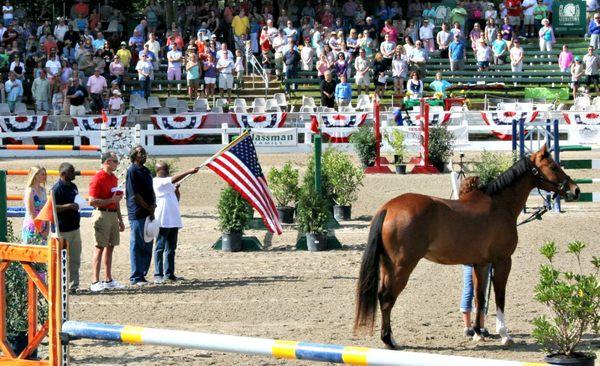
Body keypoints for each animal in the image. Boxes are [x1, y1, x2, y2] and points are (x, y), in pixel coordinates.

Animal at [354, 144, 580, 348]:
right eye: (553, 166)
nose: (575, 190)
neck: (500, 204)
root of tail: (388, 208)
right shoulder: (502, 262)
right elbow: (499, 296)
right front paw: (504, 334)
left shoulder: (480, 264)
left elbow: (479, 298)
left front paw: (478, 332)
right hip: (402, 267)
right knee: (387, 298)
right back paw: (389, 340)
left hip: (387, 266)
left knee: (383, 296)